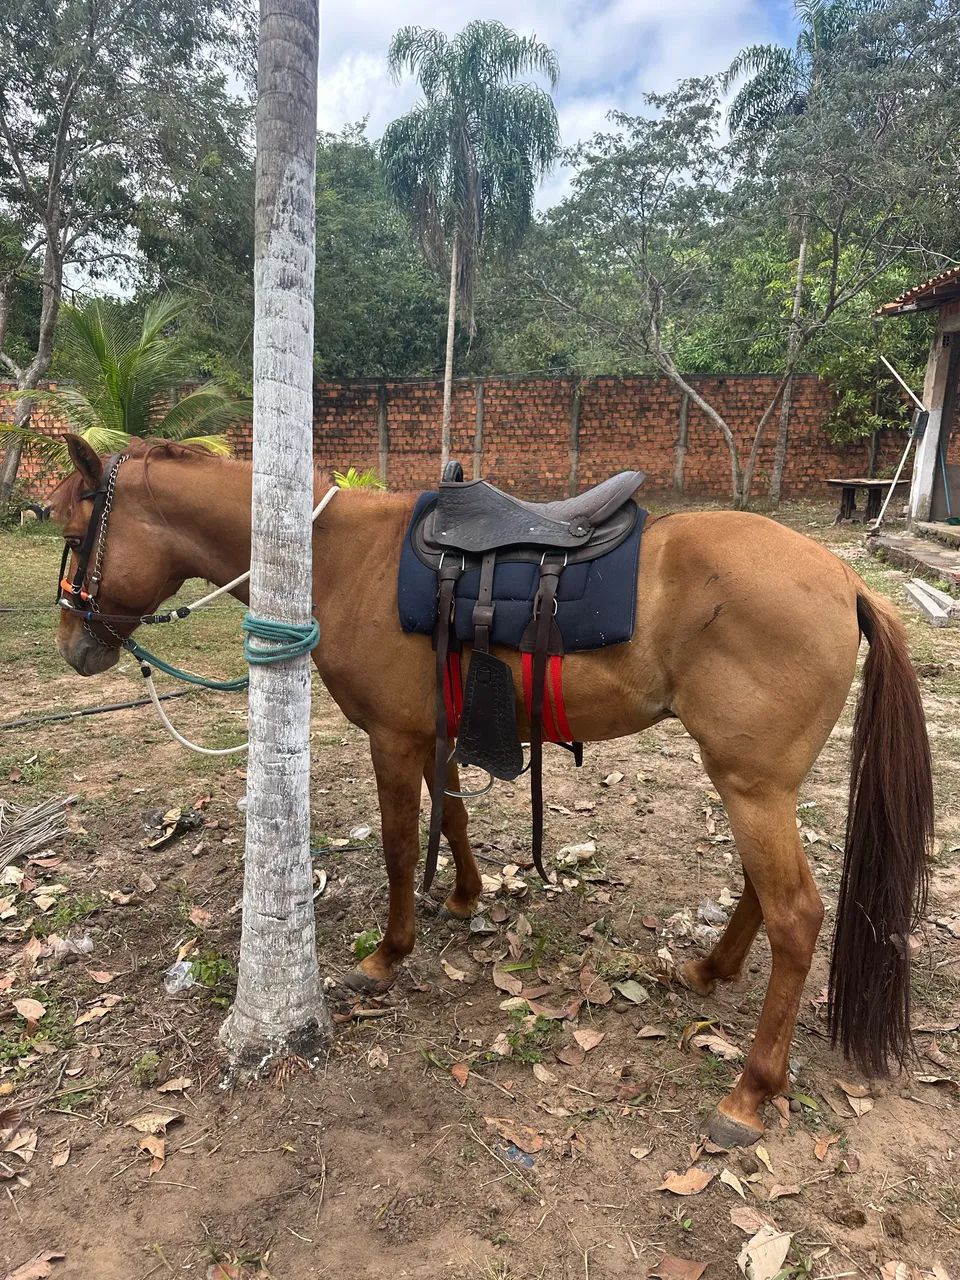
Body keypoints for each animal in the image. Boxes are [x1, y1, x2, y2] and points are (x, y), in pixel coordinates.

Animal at [48, 434, 933, 1148]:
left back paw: (750, 1091)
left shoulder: (393, 738)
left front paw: (387, 954)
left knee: (797, 915)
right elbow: (455, 816)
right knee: (763, 891)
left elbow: (403, 845)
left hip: (751, 785)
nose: (73, 647)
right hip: (754, 783)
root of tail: (846, 580)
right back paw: (710, 970)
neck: (339, 556)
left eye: (72, 532)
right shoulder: (436, 728)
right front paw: (466, 896)